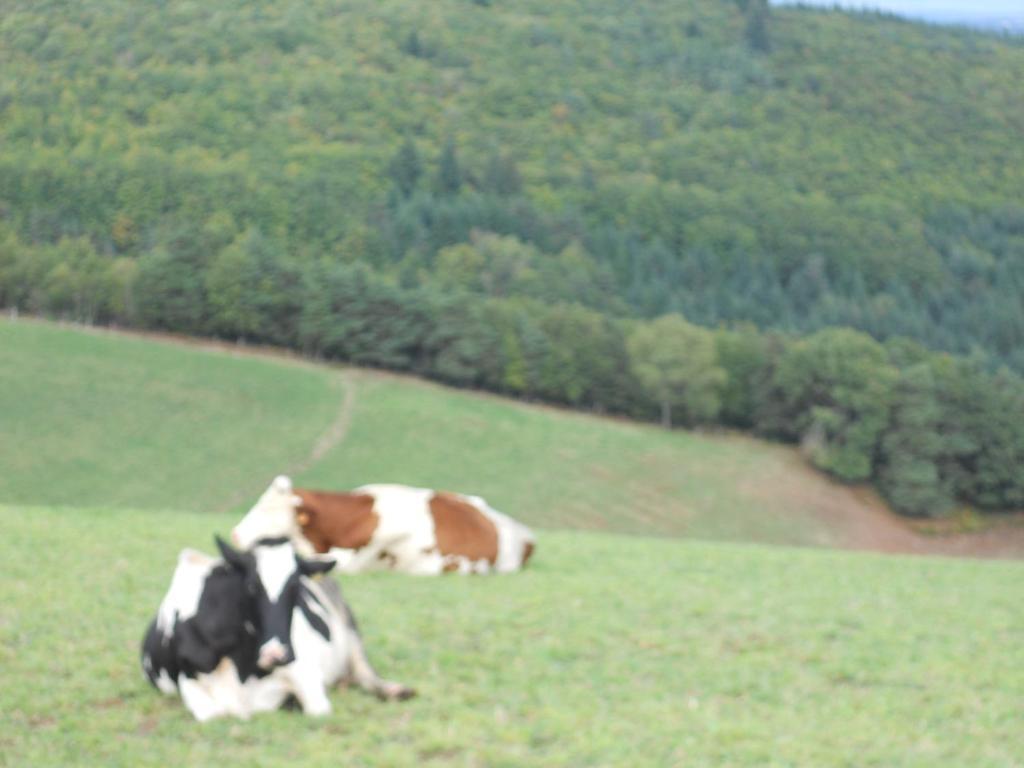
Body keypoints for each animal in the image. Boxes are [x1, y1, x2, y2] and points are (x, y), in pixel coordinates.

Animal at [140, 536, 411, 720]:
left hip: (350, 627)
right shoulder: (189, 681)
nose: (276, 654)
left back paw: (395, 690)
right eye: (251, 585)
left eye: (296, 586)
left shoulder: (305, 671)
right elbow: (213, 714)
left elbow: (318, 709)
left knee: (365, 672)